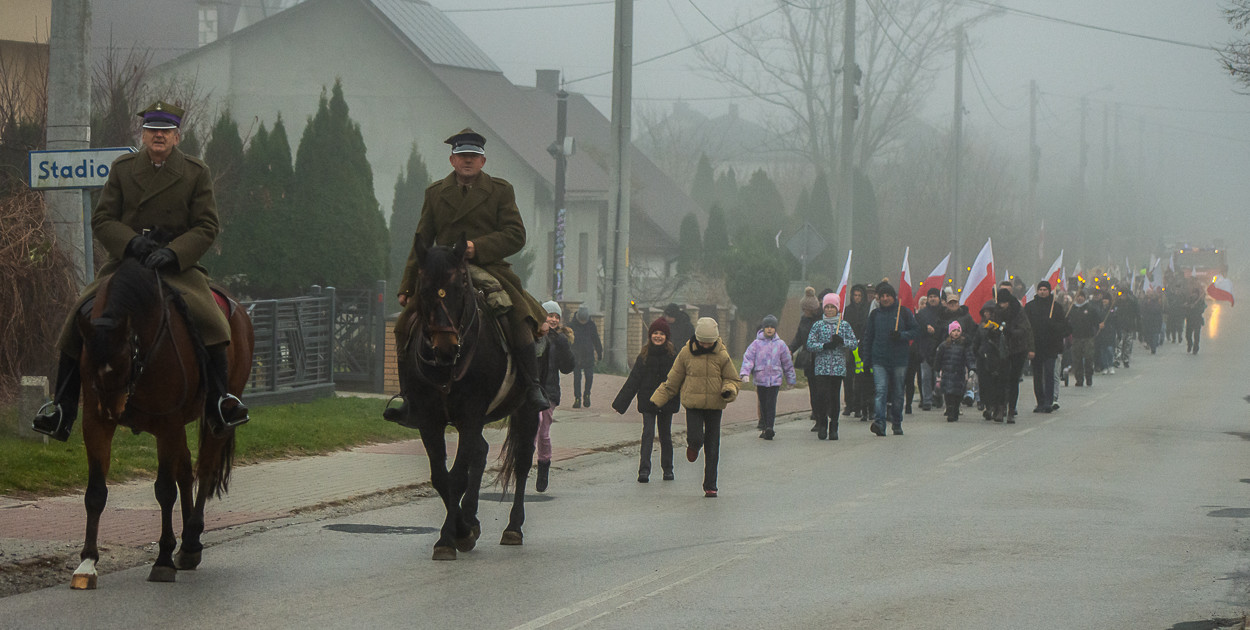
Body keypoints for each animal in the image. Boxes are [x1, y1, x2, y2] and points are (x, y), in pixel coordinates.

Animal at [70, 258, 253, 587]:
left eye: (124, 361)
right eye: (88, 364)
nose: (113, 410)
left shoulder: (167, 423)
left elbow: (165, 491)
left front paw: (163, 559)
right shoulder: (95, 423)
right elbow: (96, 493)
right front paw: (87, 563)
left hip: (211, 420)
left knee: (205, 470)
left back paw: (190, 541)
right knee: (186, 471)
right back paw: (188, 546)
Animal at [390, 236, 542, 560]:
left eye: (460, 286)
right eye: (423, 288)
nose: (445, 347)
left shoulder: (471, 415)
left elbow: (457, 476)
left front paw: (449, 538)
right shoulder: (429, 420)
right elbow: (441, 477)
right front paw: (461, 529)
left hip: (525, 409)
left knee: (522, 460)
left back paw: (513, 527)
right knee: (481, 452)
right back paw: (471, 517)